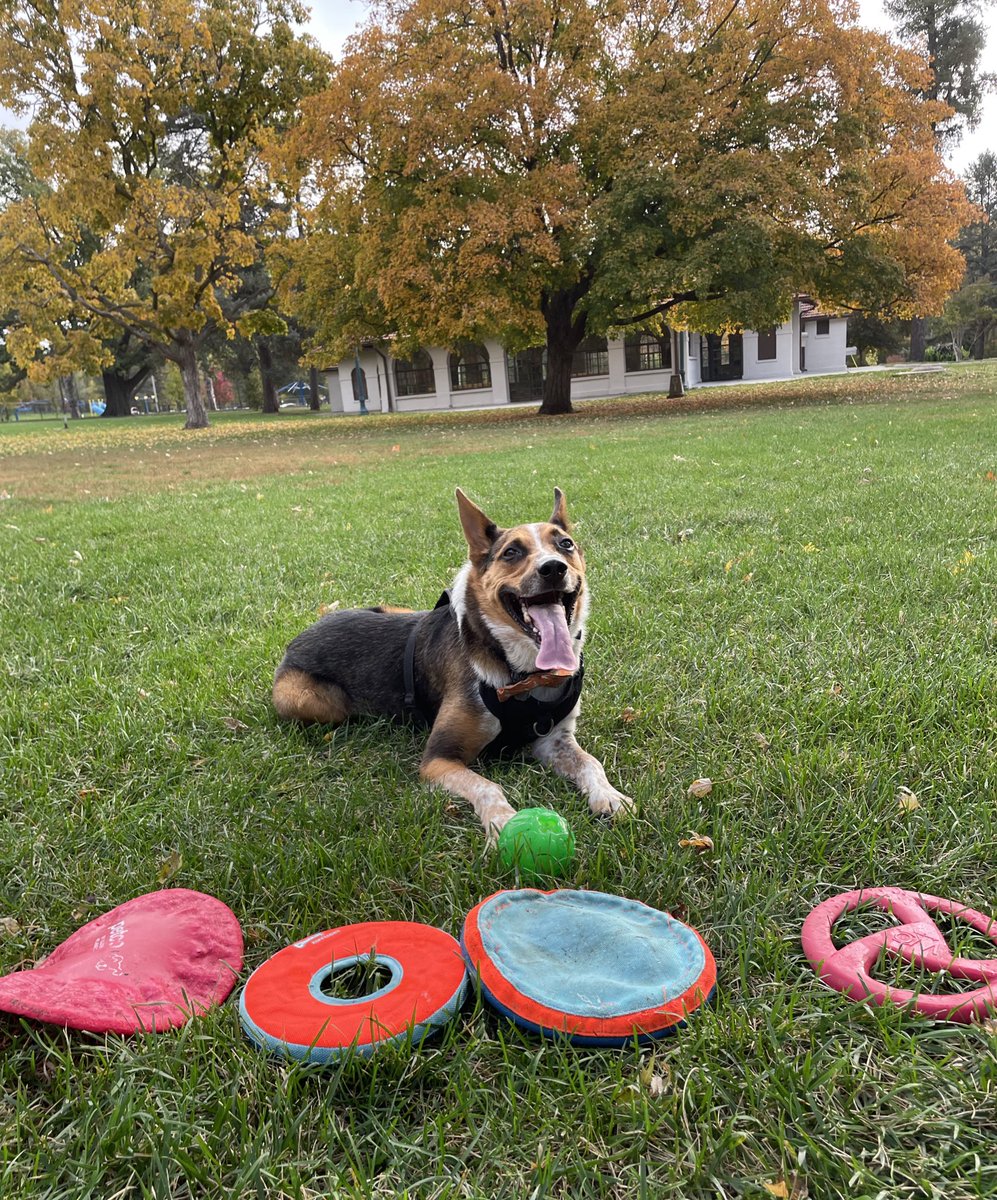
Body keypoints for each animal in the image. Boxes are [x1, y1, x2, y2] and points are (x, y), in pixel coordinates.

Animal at [273, 482, 633, 840]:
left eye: (565, 544)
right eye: (511, 553)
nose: (554, 568)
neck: (521, 672)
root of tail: (303, 633)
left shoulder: (554, 740)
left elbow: (590, 762)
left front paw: (610, 796)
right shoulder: (438, 759)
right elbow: (487, 786)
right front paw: (505, 821)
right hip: (309, 700)